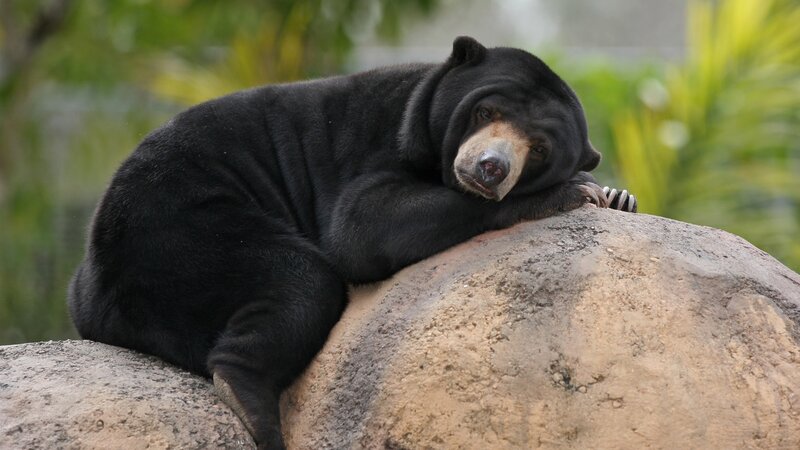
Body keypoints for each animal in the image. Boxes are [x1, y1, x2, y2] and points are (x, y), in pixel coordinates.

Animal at [68, 36, 637, 449]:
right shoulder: (377, 144)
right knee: (300, 280)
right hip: (179, 227)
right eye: (485, 113)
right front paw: (575, 192)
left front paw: (619, 195)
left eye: (538, 149)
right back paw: (251, 405)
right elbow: (360, 227)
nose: (490, 168)